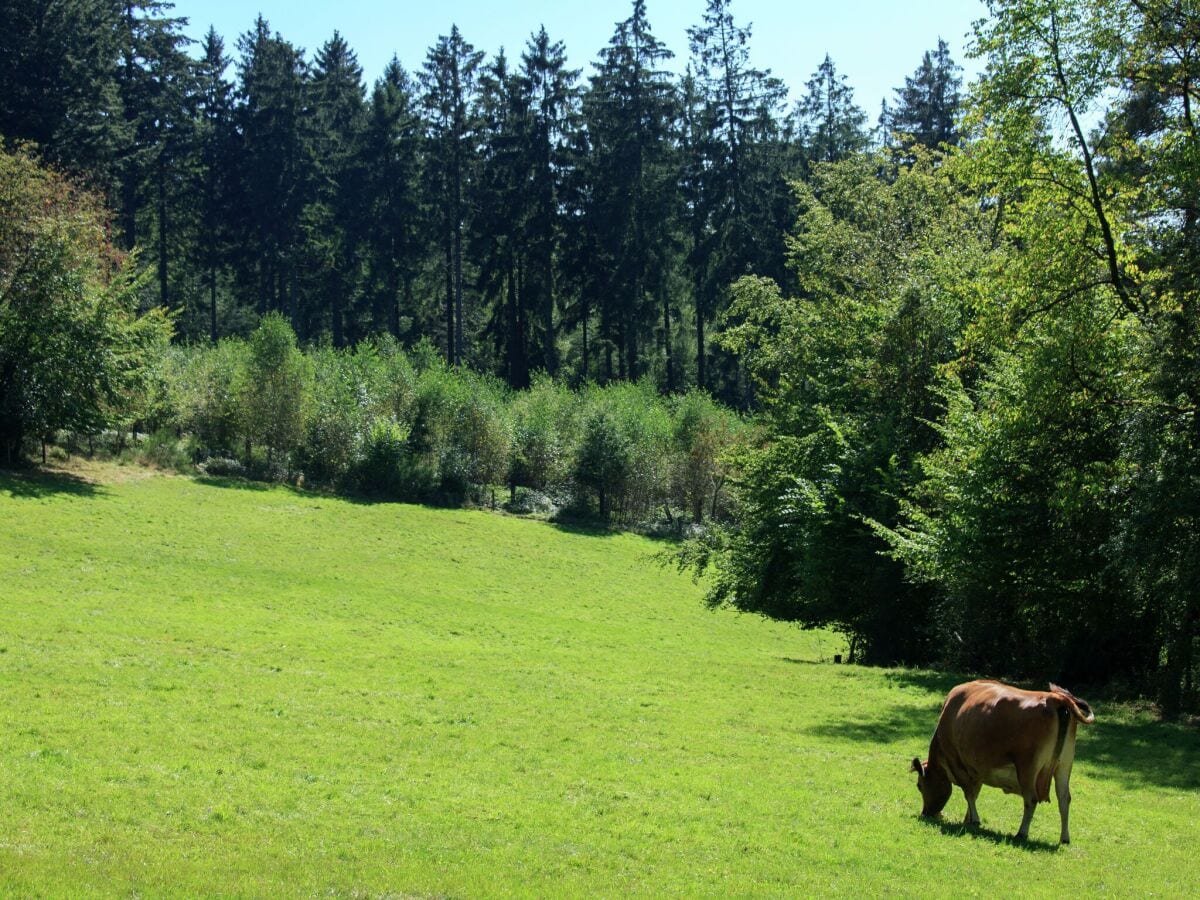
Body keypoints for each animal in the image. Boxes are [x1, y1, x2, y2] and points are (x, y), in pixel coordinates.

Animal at [907, 681, 1099, 844]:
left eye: (919, 785)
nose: (926, 813)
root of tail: (1057, 699)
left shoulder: (958, 763)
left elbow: (969, 793)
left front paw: (974, 820)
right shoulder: (977, 769)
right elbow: (974, 793)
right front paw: (968, 819)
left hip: (1028, 766)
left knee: (1031, 799)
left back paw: (1022, 833)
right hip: (1064, 764)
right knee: (1064, 799)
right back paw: (1064, 838)